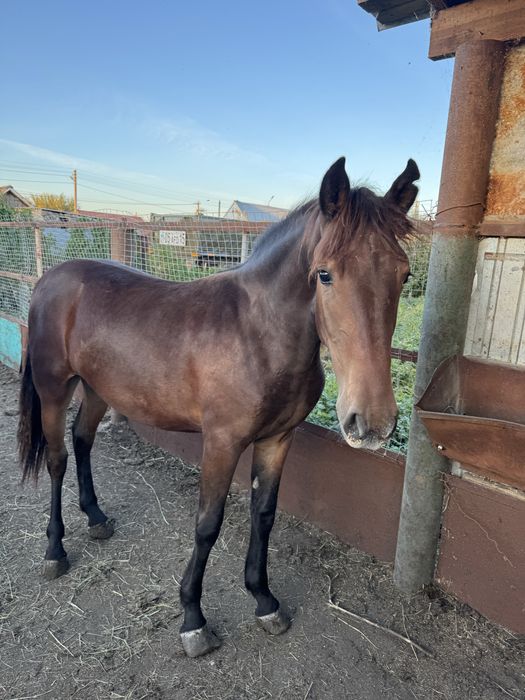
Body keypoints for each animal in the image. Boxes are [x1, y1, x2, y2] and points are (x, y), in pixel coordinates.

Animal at [17, 157, 419, 657]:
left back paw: (96, 518)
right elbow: (208, 523)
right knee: (57, 458)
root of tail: (49, 279)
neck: (257, 333)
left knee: (83, 440)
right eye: (325, 274)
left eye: (404, 275)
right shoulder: (222, 443)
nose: (372, 422)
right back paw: (55, 551)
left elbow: (263, 516)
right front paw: (193, 619)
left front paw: (264, 600)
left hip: (96, 389)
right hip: (54, 389)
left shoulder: (277, 440)